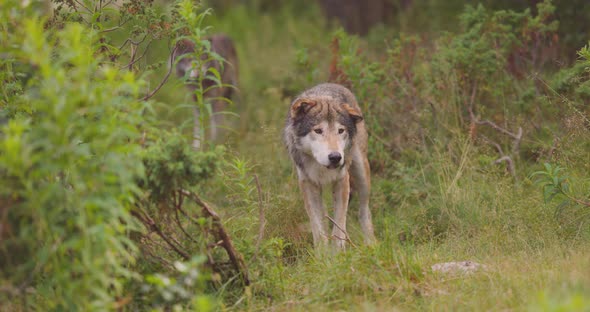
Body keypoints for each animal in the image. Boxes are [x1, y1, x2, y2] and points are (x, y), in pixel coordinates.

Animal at [284, 82, 376, 249]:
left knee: (364, 210)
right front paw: (323, 255)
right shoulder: (308, 184)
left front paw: (338, 253)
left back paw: (371, 243)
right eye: (318, 131)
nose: (335, 157)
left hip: (362, 175)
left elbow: (339, 227)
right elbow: (318, 230)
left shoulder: (342, 181)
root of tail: (332, 84)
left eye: (340, 131)